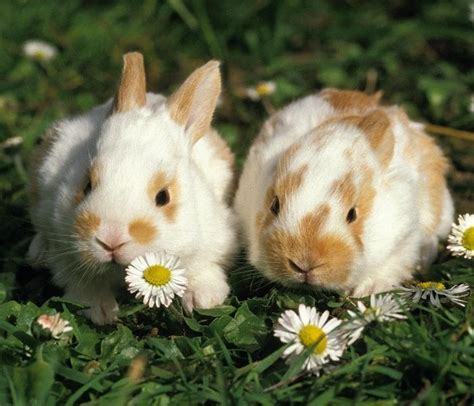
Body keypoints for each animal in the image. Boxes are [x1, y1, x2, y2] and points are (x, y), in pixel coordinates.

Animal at [27, 53, 237, 324]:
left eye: (163, 196)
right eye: (87, 185)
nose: (110, 241)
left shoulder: (217, 240)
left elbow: (203, 267)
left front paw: (205, 299)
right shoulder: (64, 249)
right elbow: (84, 284)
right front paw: (101, 312)